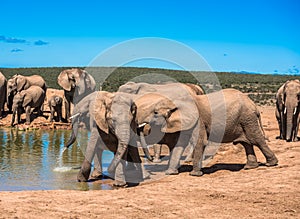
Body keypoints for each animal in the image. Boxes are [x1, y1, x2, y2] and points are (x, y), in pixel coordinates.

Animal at [135, 88, 278, 175]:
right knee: (246, 143)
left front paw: (195, 174)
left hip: (247, 118)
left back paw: (271, 164)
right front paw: (170, 173)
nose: (150, 160)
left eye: (155, 112)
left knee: (256, 139)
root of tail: (255, 106)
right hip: (244, 120)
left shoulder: (199, 120)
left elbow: (199, 142)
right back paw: (249, 167)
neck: (176, 102)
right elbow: (179, 145)